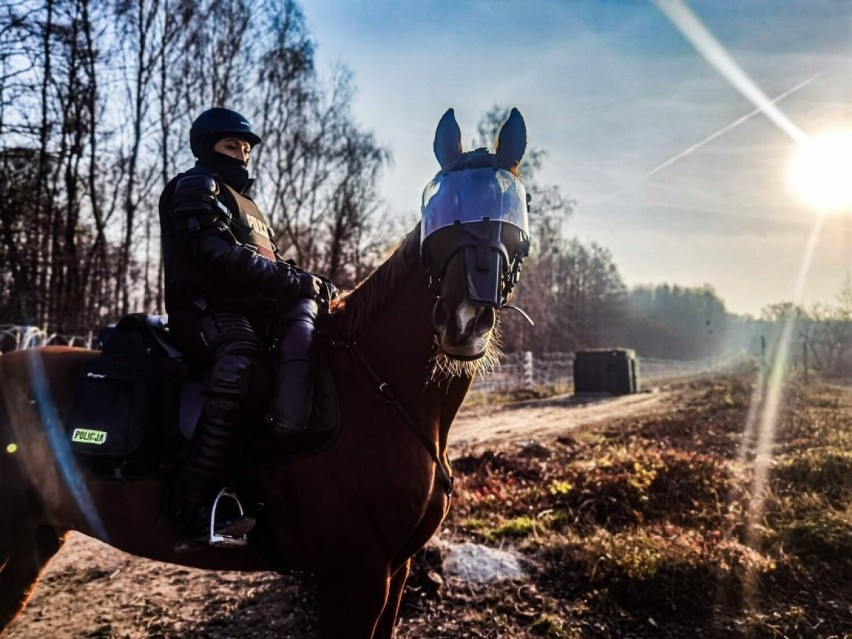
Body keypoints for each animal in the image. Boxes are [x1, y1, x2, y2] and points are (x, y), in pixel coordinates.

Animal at [0, 107, 528, 636]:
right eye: (439, 206)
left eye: (516, 205)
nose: (465, 320)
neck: (375, 389)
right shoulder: (355, 575)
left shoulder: (394, 570)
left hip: (33, 541)